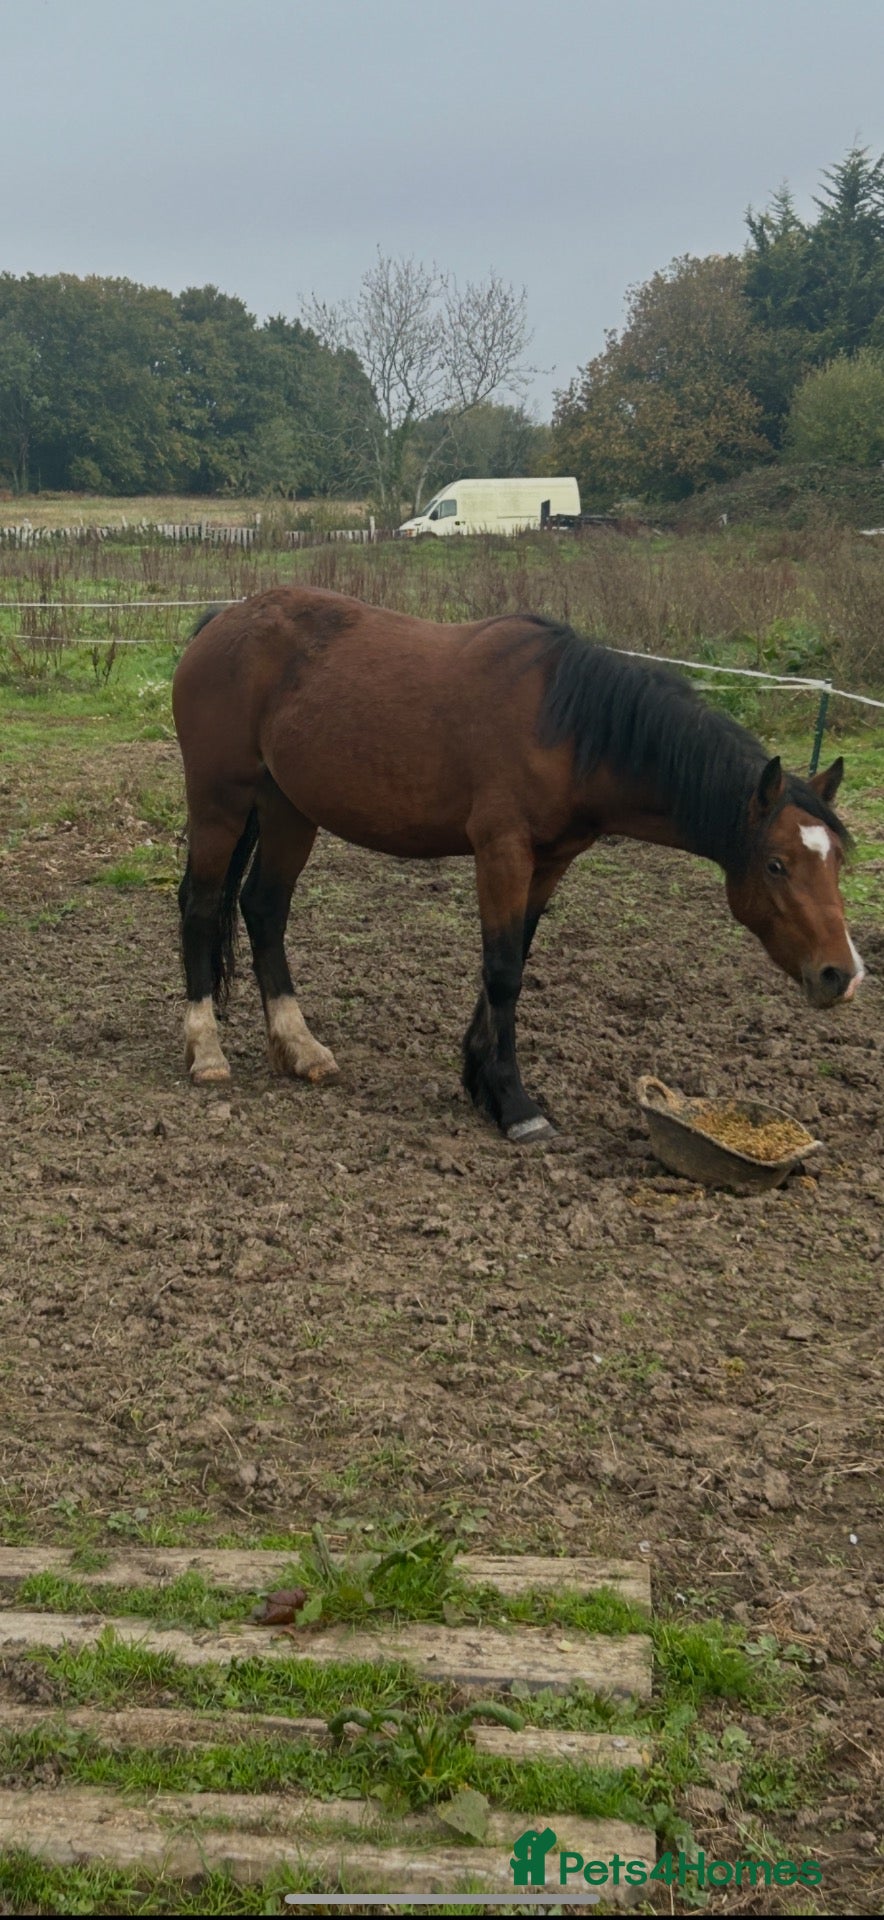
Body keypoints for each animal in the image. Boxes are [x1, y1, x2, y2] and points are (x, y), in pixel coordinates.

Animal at [172, 586, 863, 1142]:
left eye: (835, 863)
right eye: (776, 865)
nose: (842, 974)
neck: (568, 729)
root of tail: (220, 621)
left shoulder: (549, 863)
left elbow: (514, 963)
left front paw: (480, 1079)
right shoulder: (502, 851)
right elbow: (502, 972)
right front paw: (514, 1103)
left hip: (290, 809)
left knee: (264, 908)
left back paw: (300, 1047)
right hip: (220, 802)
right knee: (201, 906)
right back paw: (206, 1052)